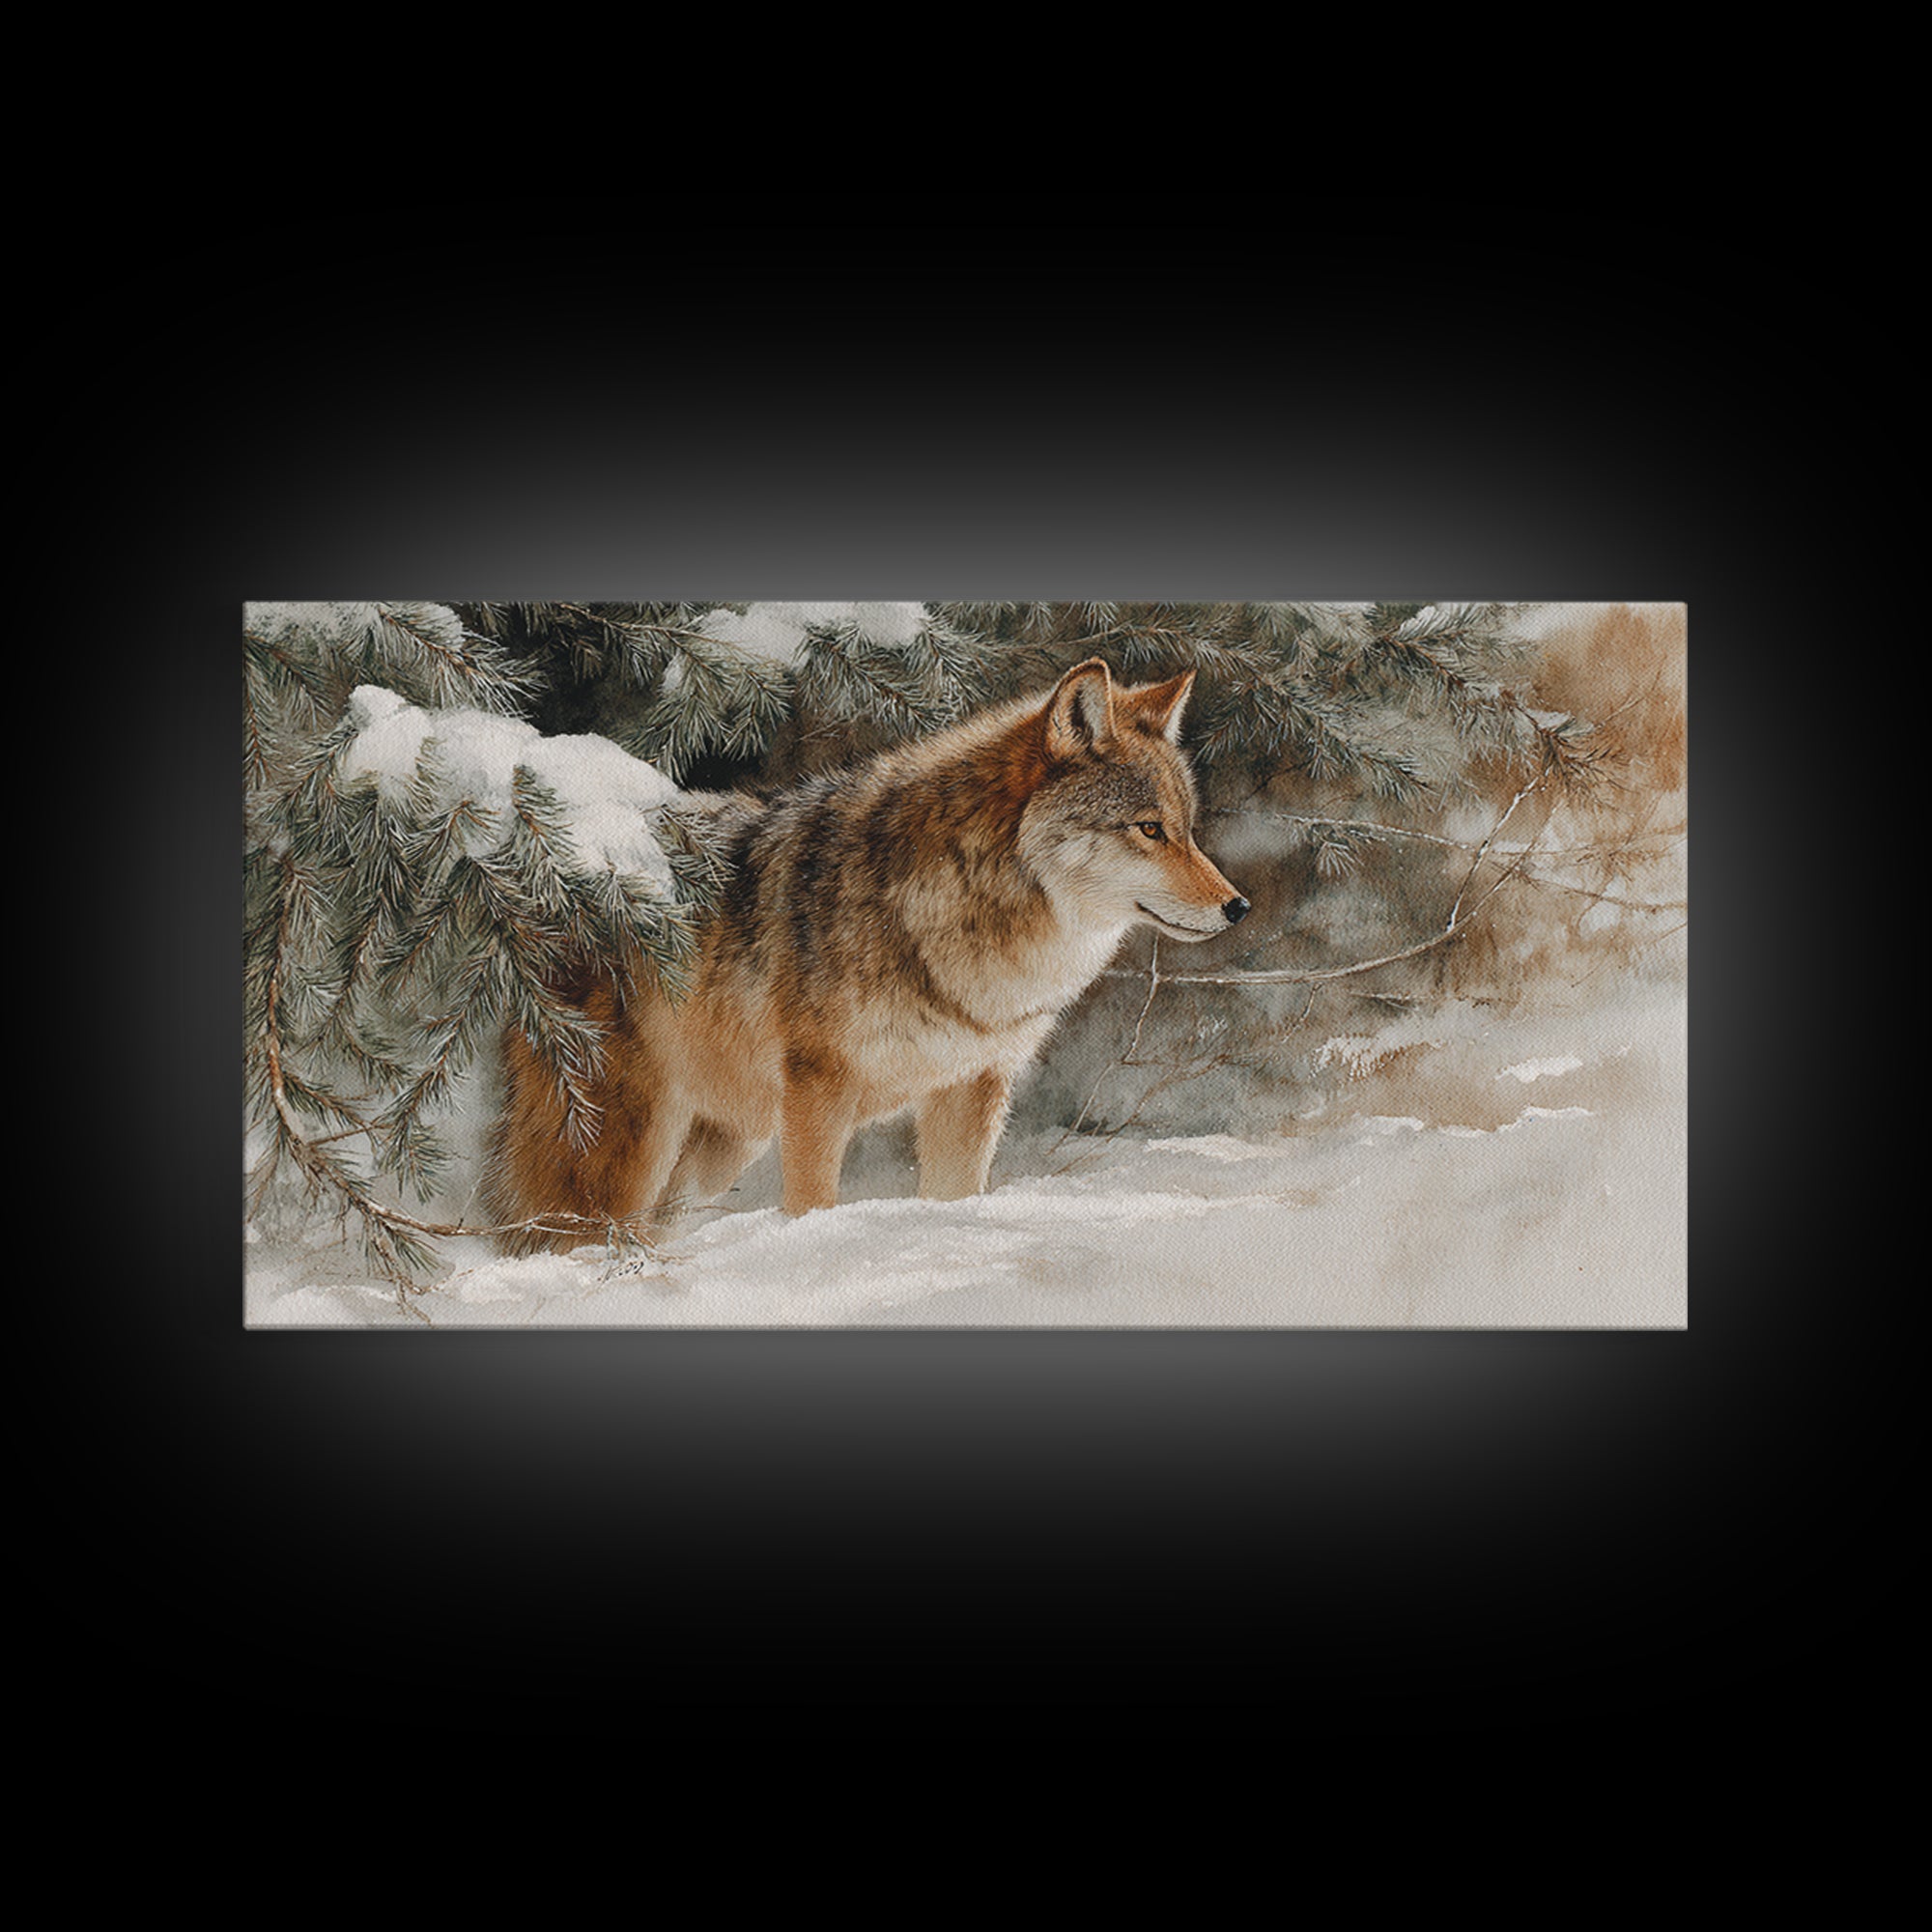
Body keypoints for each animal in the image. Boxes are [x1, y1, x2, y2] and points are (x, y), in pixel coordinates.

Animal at [484, 657, 1249, 1251]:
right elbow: (812, 1203)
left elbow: (954, 1196)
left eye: (1186, 829)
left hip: (726, 1141)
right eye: (1148, 830)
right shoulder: (821, 1089)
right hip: (621, 1143)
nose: (1238, 906)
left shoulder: (972, 1086)